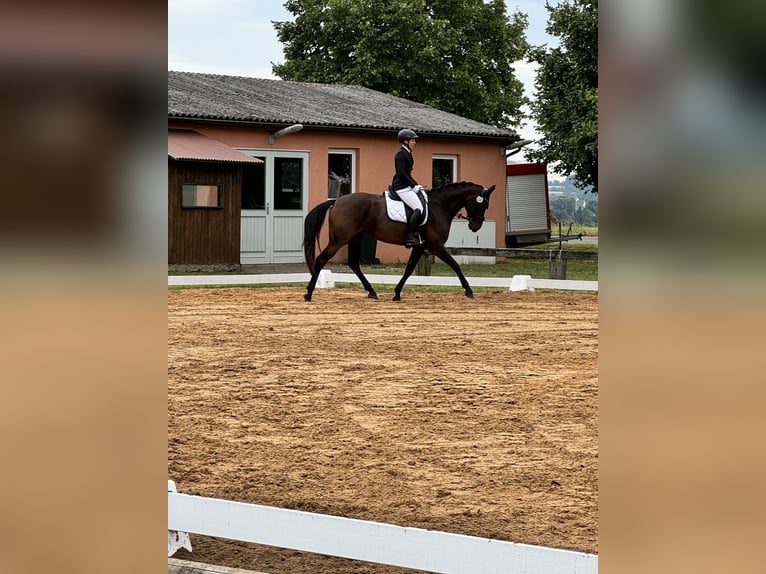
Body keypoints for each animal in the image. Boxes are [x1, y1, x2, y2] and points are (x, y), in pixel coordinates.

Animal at [302, 182, 498, 304]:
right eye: (482, 204)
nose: (475, 226)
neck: (439, 207)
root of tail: (336, 201)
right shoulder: (435, 245)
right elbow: (455, 265)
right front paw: (469, 290)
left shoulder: (421, 246)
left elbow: (409, 268)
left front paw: (396, 293)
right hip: (340, 239)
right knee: (321, 259)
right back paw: (309, 293)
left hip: (355, 238)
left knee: (353, 264)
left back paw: (372, 292)